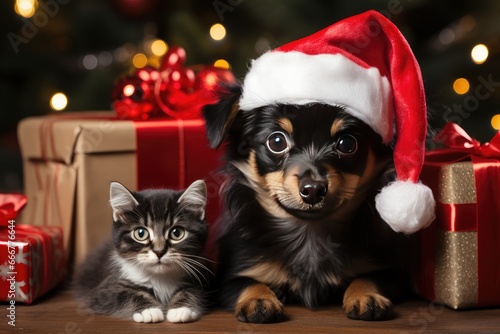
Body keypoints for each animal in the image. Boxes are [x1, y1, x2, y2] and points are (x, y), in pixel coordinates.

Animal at [72, 180, 209, 324]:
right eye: (141, 233)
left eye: (177, 233)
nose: (159, 251)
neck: (159, 278)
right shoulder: (100, 292)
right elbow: (126, 293)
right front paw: (149, 310)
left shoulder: (201, 280)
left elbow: (191, 290)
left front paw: (181, 309)